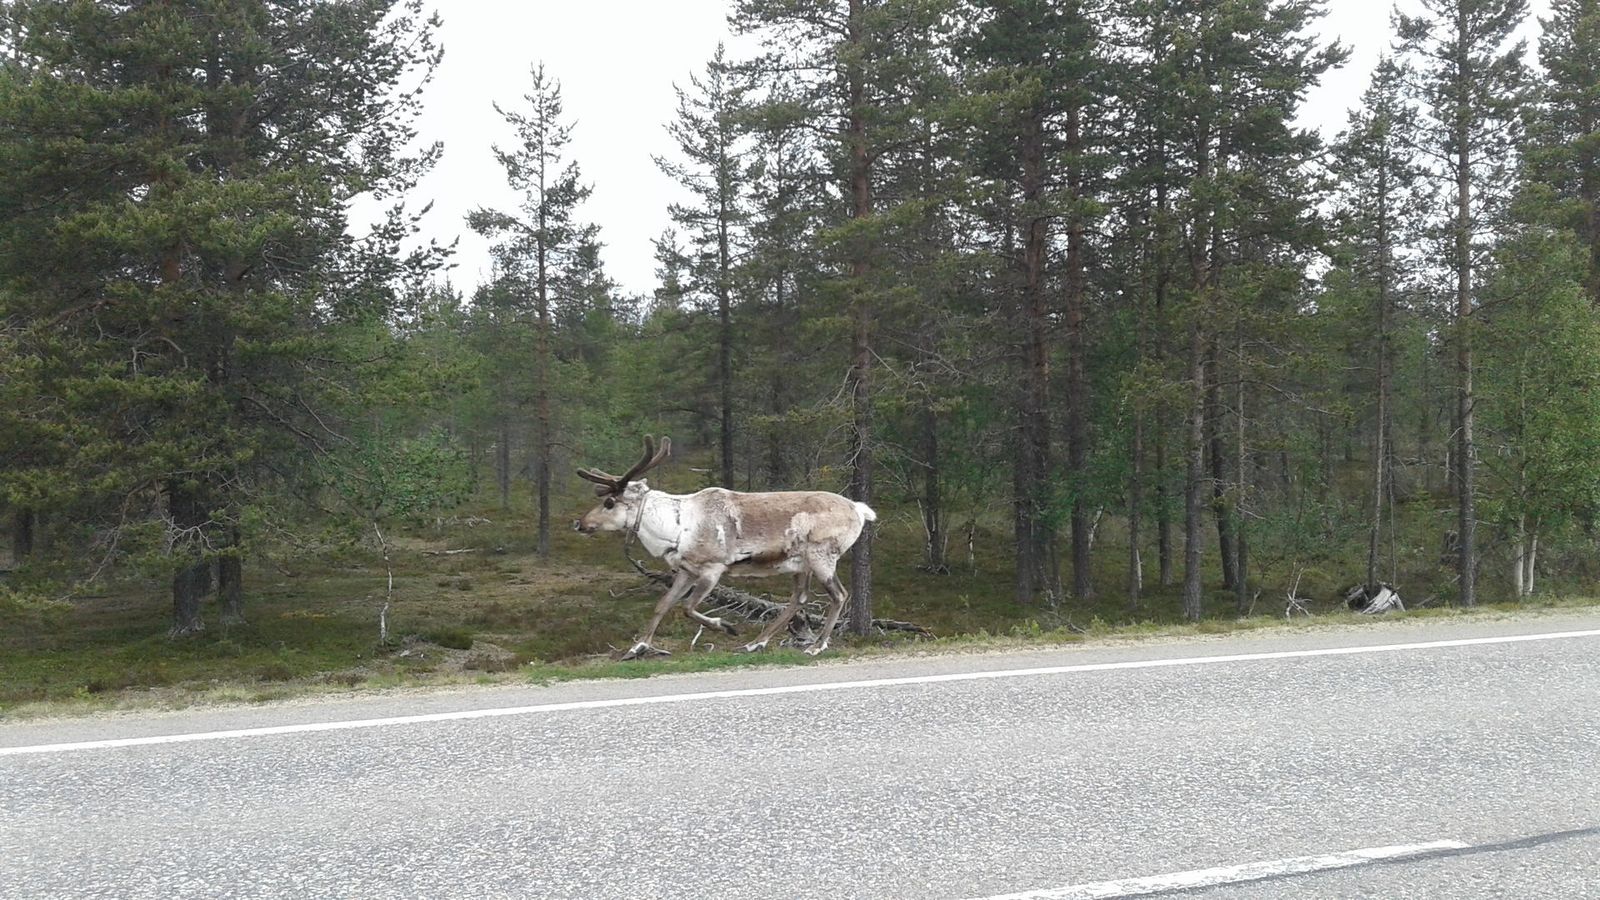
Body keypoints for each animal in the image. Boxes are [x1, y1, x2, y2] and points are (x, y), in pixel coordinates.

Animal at [572, 436, 876, 660]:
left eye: (609, 502)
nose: (580, 523)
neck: (673, 529)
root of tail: (860, 510)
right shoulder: (686, 570)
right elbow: (663, 605)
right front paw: (637, 648)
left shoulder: (712, 568)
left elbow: (688, 607)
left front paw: (727, 627)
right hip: (799, 563)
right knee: (799, 598)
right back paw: (756, 643)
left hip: (822, 556)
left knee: (839, 595)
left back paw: (816, 646)